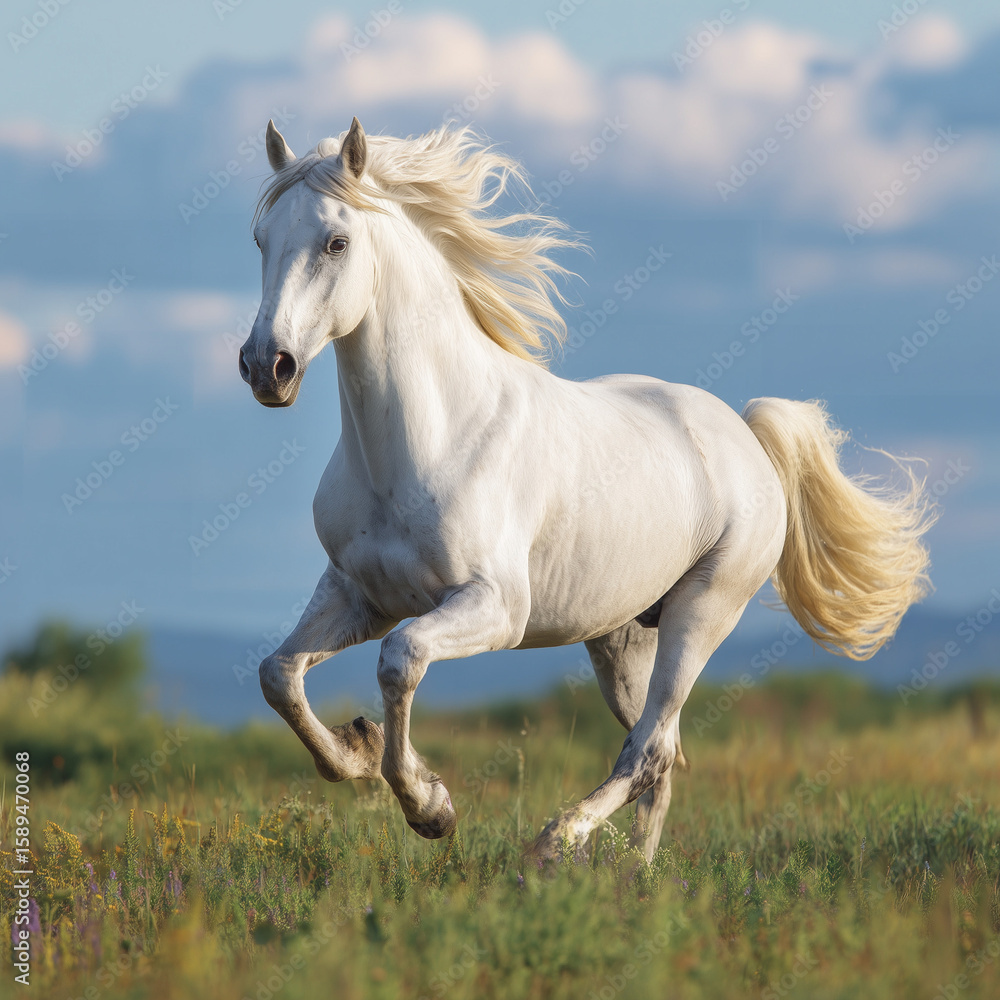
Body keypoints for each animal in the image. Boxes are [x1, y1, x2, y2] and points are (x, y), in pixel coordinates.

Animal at [239, 116, 935, 861]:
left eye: (336, 242)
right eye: (261, 239)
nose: (267, 366)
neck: (423, 442)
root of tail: (747, 438)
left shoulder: (494, 608)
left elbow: (401, 660)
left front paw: (431, 807)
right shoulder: (358, 594)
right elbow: (279, 675)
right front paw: (358, 752)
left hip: (702, 613)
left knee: (650, 750)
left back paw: (554, 844)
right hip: (623, 640)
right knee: (660, 755)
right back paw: (635, 877)